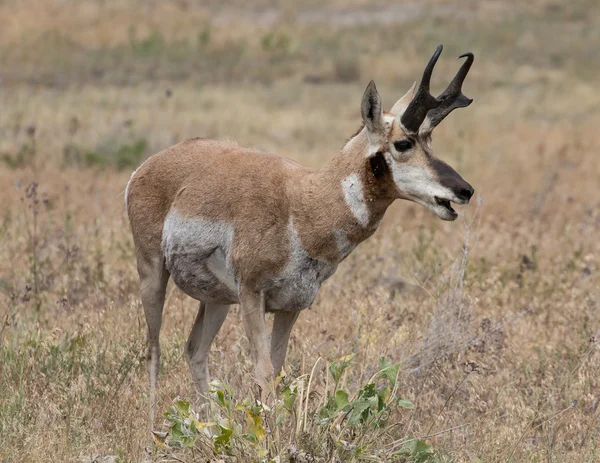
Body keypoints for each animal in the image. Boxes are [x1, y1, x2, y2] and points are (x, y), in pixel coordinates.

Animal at [125, 44, 474, 424]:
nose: (465, 190)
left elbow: (276, 371)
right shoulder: (251, 295)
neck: (301, 203)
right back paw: (153, 427)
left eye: (429, 139)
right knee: (154, 350)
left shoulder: (289, 306)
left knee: (194, 350)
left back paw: (208, 423)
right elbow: (263, 370)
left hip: (217, 300)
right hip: (153, 275)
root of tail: (148, 165)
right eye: (402, 144)